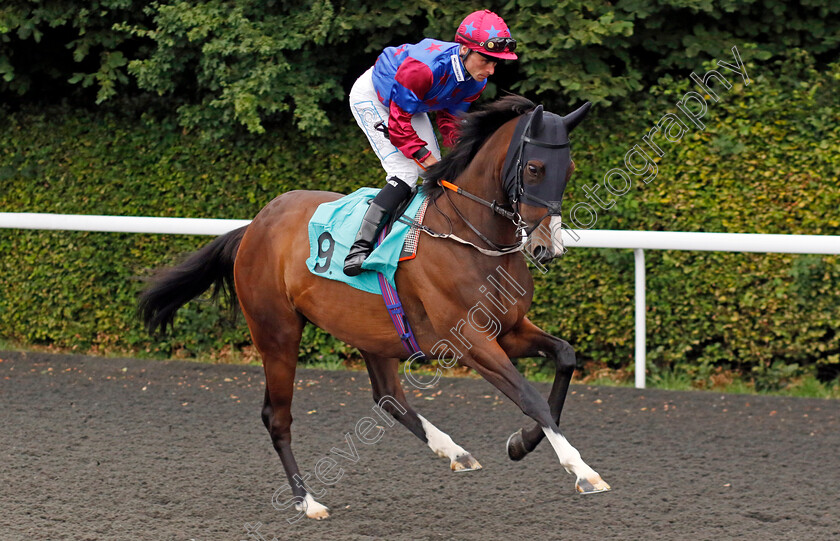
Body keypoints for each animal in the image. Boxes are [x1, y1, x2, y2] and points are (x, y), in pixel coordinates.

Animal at [139, 94, 612, 520]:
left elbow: (565, 359)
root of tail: (255, 225)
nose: (547, 248)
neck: (469, 236)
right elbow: (529, 396)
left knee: (389, 398)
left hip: (371, 332)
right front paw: (583, 471)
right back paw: (308, 502)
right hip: (277, 334)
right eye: (534, 168)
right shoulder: (469, 340)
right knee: (278, 416)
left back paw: (454, 451)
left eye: (569, 169)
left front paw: (521, 443)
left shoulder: (509, 329)